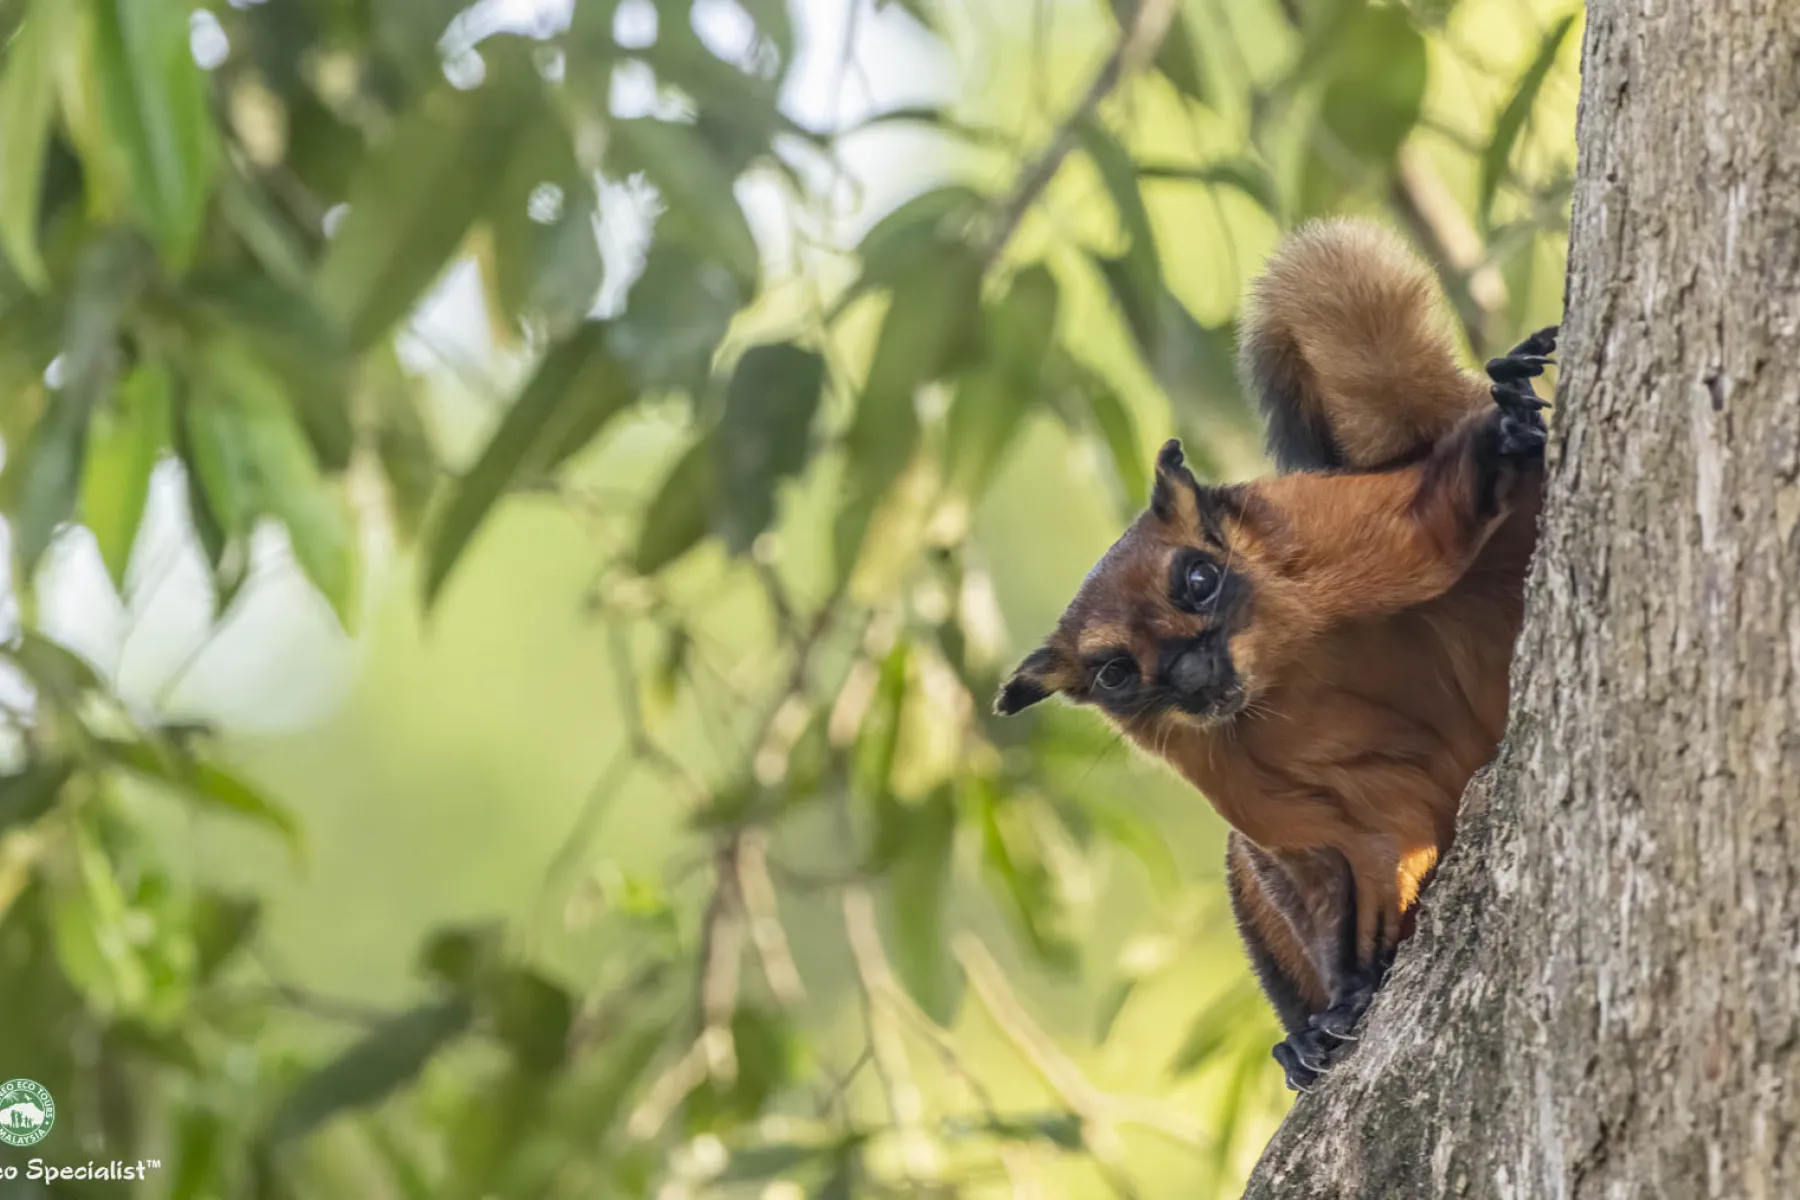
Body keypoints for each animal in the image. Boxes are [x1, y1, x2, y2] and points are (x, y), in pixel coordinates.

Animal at [994, 217, 1556, 1090]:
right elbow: (1332, 856)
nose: (1194, 676)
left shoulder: (1330, 541)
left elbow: (1442, 515)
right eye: (1115, 673)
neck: (1288, 675)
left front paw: (1506, 425)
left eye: (1198, 580)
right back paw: (1306, 1035)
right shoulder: (1231, 769)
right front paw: (1347, 995)